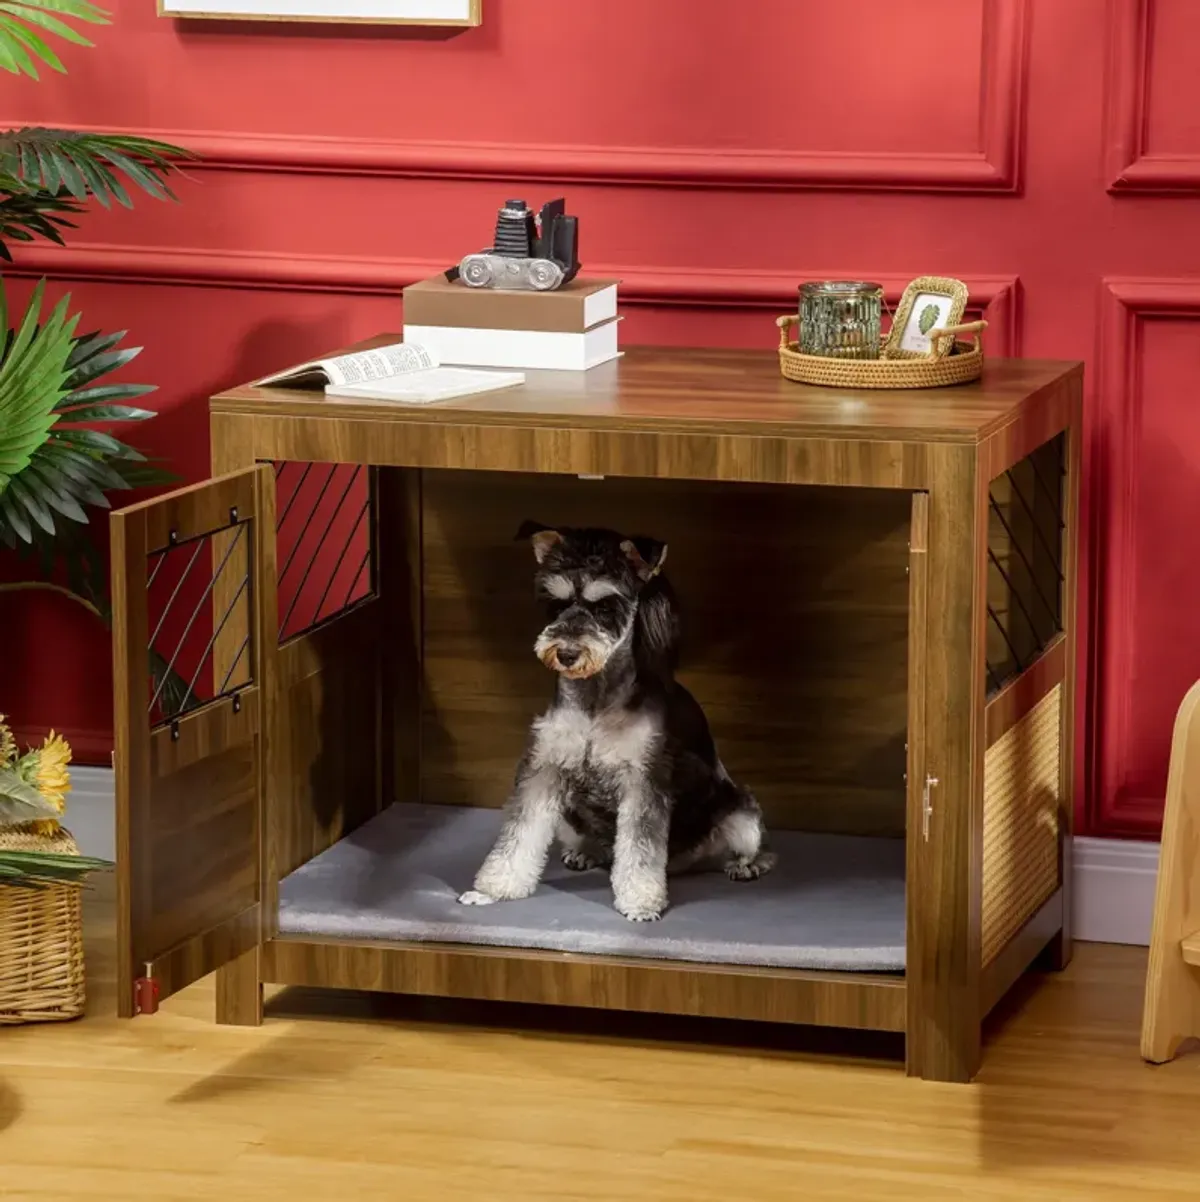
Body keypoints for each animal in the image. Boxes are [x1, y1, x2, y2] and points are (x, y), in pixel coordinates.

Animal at [454, 516, 774, 918]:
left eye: (606, 606)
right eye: (556, 604)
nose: (567, 654)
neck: (596, 697)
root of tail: (679, 863)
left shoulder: (643, 781)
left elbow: (639, 848)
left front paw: (639, 901)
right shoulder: (544, 770)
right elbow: (516, 837)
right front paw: (492, 890)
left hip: (742, 816)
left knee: (752, 847)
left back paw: (745, 865)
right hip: (567, 813)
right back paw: (585, 852)